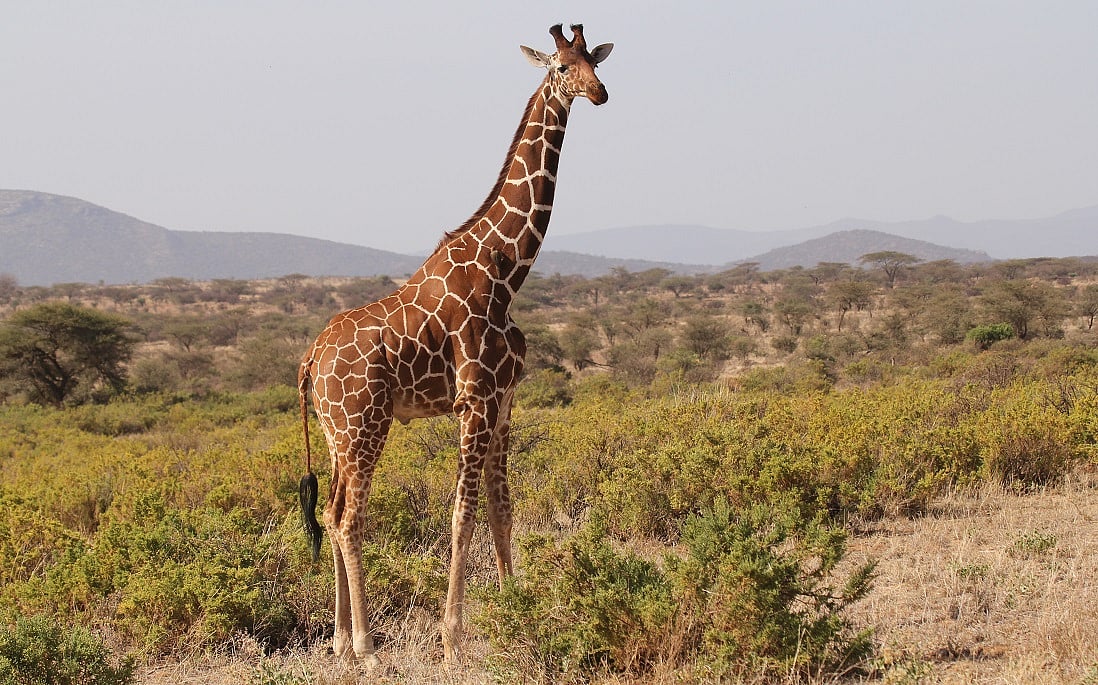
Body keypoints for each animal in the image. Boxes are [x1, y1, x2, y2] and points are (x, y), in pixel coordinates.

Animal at [297, 23, 612, 665]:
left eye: (593, 61)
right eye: (560, 68)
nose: (599, 93)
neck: (508, 269)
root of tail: (311, 360)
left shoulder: (505, 400)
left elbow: (501, 507)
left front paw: (519, 609)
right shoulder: (474, 401)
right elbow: (462, 514)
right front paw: (453, 639)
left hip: (336, 433)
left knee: (333, 512)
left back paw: (339, 640)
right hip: (365, 426)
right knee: (349, 519)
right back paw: (366, 645)